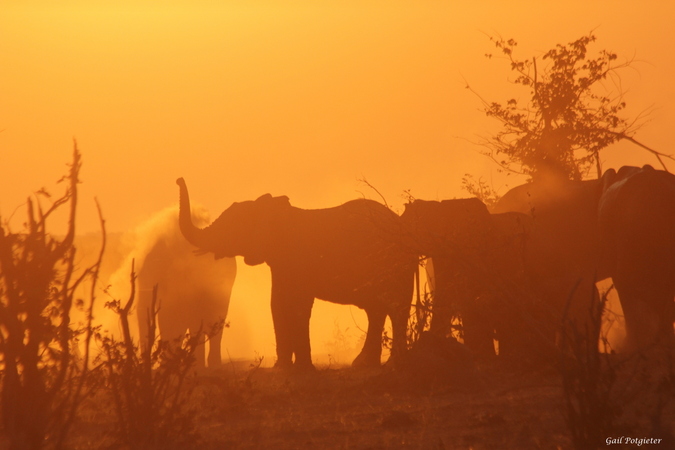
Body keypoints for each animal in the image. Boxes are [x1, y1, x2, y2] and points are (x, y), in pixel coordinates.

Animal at [174, 178, 418, 368]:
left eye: (231, 226)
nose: (178, 179)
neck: (276, 213)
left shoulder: (298, 261)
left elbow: (299, 305)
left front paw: (301, 369)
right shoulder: (281, 264)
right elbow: (277, 303)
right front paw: (282, 367)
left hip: (395, 263)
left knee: (395, 308)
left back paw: (394, 364)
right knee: (376, 310)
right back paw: (364, 364)